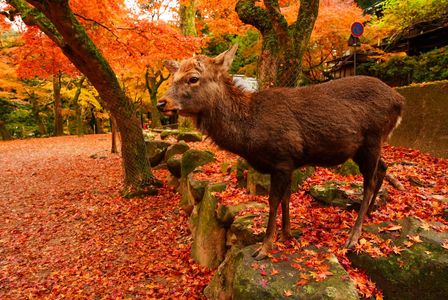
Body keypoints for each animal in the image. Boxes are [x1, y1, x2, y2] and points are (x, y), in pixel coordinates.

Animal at [158, 44, 406, 260]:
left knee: (369, 181)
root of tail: (400, 101)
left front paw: (265, 247)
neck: (249, 132)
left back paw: (354, 236)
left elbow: (274, 200)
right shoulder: (290, 162)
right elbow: (287, 196)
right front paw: (288, 234)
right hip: (362, 146)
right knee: (383, 167)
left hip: (373, 137)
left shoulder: (282, 158)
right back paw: (370, 213)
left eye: (193, 78)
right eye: (173, 77)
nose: (161, 103)